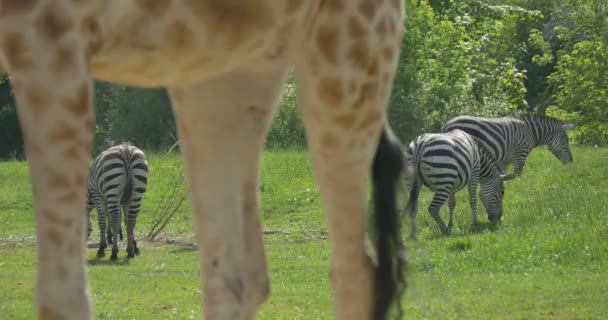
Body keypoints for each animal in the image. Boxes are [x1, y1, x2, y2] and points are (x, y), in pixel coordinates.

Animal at [2, 0, 406, 320]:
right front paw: (118, 248)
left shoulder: (50, 36)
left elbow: (64, 291)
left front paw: (109, 249)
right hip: (219, 74)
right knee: (238, 276)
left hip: (346, 53)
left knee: (355, 270)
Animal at [442, 115, 576, 180]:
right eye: (566, 141)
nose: (571, 161)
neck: (530, 132)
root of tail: (447, 124)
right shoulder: (521, 154)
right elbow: (517, 175)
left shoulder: (504, 161)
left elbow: (505, 176)